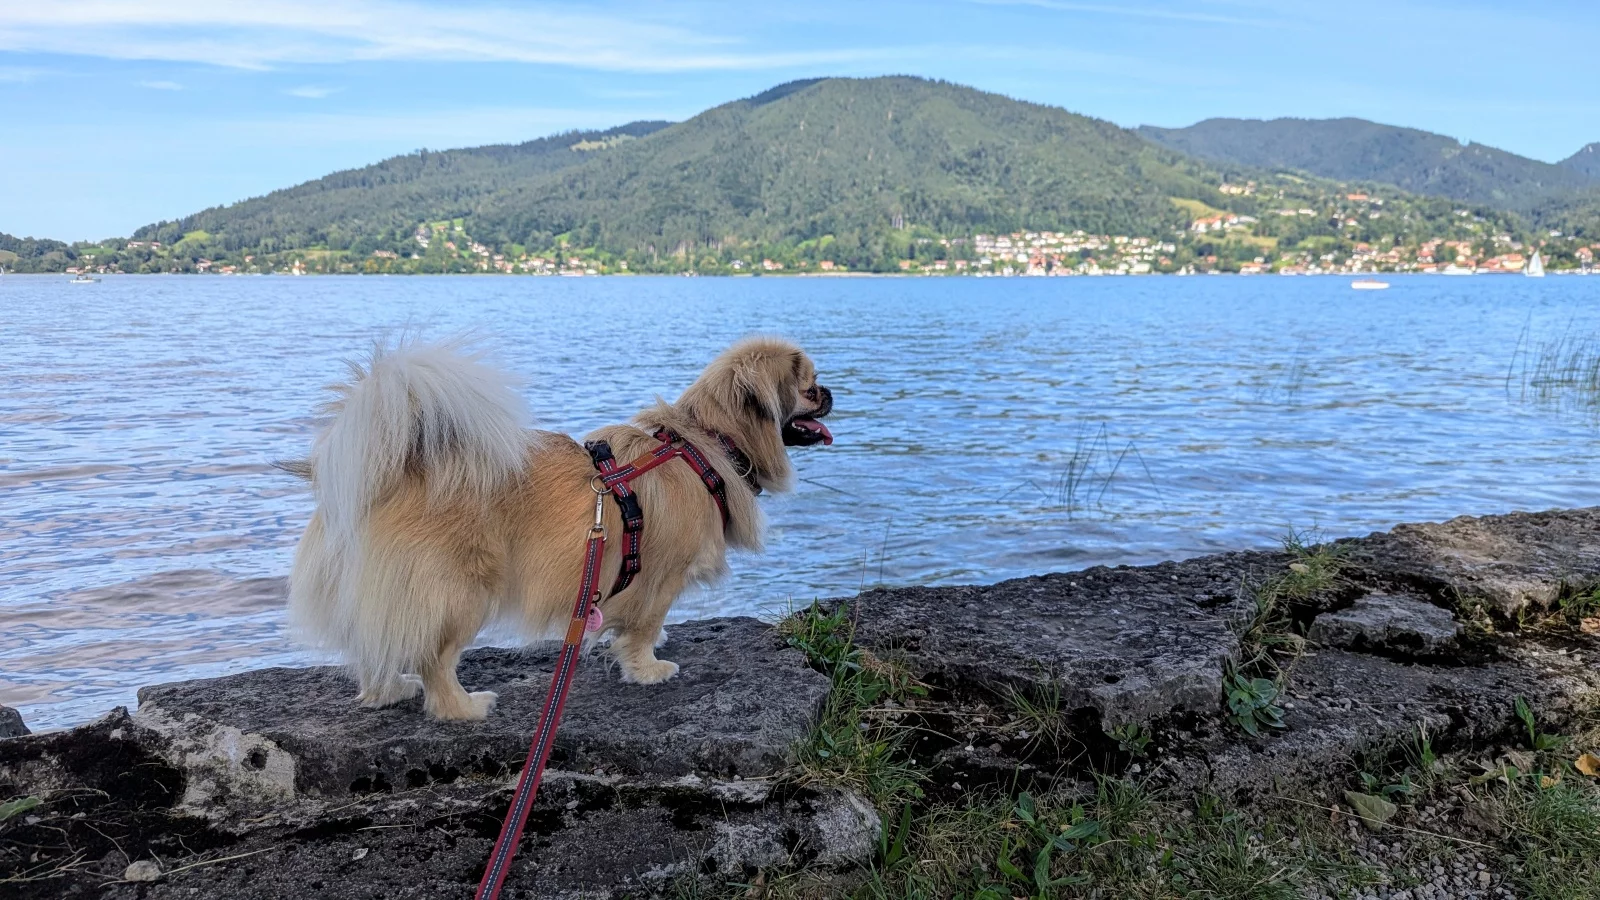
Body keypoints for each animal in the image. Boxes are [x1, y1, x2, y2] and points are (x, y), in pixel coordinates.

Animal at [283, 337, 833, 720]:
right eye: (809, 388)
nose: (830, 393)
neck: (705, 443)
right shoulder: (662, 576)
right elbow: (643, 627)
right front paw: (649, 669)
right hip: (462, 595)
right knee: (433, 660)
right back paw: (464, 707)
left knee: (375, 648)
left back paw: (390, 692)